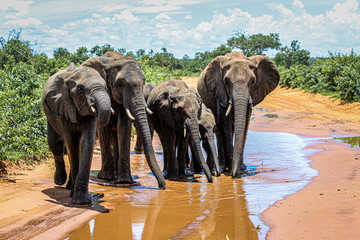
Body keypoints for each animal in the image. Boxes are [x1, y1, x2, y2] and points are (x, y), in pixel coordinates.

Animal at [42, 62, 110, 204]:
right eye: (80, 90)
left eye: (106, 87)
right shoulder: (63, 105)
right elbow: (71, 143)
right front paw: (77, 199)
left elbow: (86, 142)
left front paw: (81, 200)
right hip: (50, 113)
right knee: (55, 144)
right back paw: (60, 182)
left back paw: (69, 186)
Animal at [81, 51, 165, 189]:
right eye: (119, 85)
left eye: (143, 83)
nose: (161, 186)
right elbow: (103, 128)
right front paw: (106, 177)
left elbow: (124, 126)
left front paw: (124, 181)